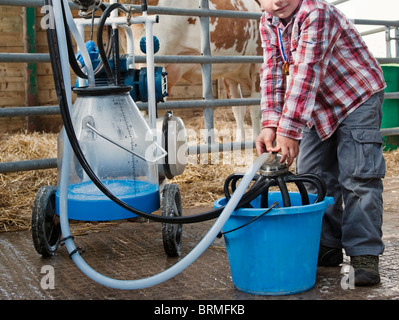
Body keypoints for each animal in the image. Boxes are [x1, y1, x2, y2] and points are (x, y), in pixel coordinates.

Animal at [123, 0, 264, 141]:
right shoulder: (258, 65)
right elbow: (255, 106)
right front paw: (256, 140)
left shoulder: (231, 74)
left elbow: (239, 108)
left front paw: (241, 142)